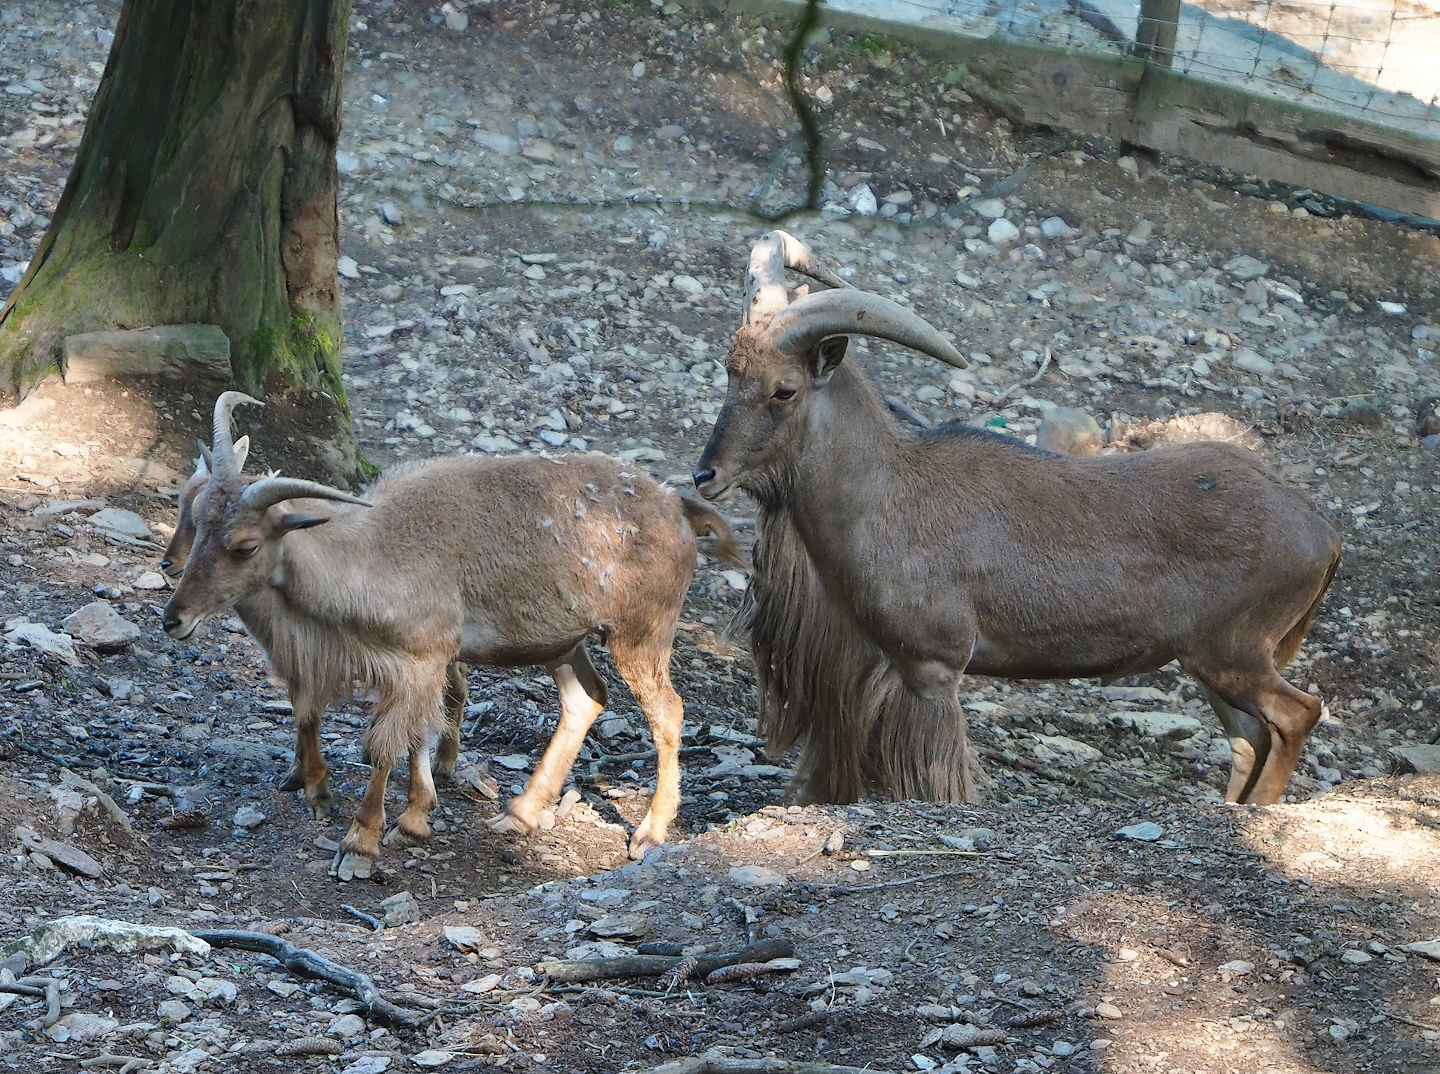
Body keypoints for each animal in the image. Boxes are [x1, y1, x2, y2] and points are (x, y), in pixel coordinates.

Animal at [164, 394, 739, 877]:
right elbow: (417, 732)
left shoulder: (419, 660)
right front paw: (415, 818)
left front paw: (361, 843)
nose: (174, 618)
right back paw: (520, 814)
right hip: (563, 642)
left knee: (667, 713)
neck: (371, 553)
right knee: (585, 699)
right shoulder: (418, 664)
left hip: (642, 634)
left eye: (244, 546)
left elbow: (385, 746)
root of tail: (678, 508)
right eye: (196, 517)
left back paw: (649, 833)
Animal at [692, 230, 1341, 807]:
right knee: (1249, 739)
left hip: (1233, 651)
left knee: (1296, 714)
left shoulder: (932, 666)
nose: (705, 474)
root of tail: (1322, 533)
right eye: (729, 371)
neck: (886, 494)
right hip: (1213, 665)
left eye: (784, 389)